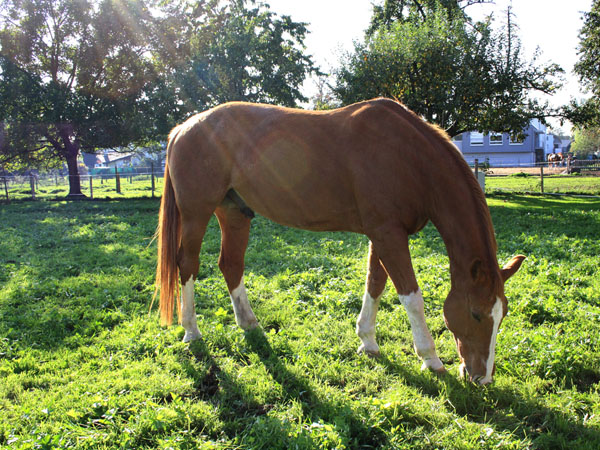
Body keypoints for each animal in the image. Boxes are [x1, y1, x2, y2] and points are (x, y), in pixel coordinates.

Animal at [156, 97, 524, 384]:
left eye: (502, 314)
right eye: (476, 314)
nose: (481, 377)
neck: (408, 157)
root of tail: (182, 129)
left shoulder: (384, 234)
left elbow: (375, 284)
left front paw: (368, 342)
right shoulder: (389, 235)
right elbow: (411, 297)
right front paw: (431, 359)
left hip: (234, 213)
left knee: (231, 264)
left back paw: (249, 324)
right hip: (196, 214)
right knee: (187, 265)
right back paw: (191, 332)